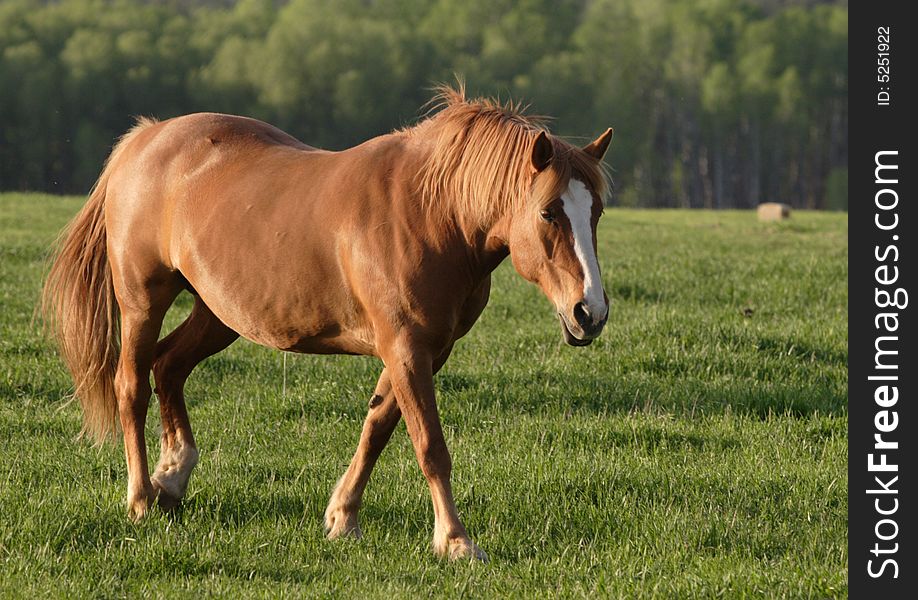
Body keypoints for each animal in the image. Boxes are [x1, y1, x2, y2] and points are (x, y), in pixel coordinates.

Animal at [45, 85, 620, 564]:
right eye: (548, 212)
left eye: (595, 212)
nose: (589, 312)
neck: (431, 214)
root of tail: (146, 137)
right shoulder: (405, 347)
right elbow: (430, 446)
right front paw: (455, 541)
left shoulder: (424, 350)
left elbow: (378, 427)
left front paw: (343, 517)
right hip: (143, 301)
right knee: (131, 385)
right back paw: (141, 497)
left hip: (219, 313)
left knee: (168, 367)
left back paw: (173, 477)